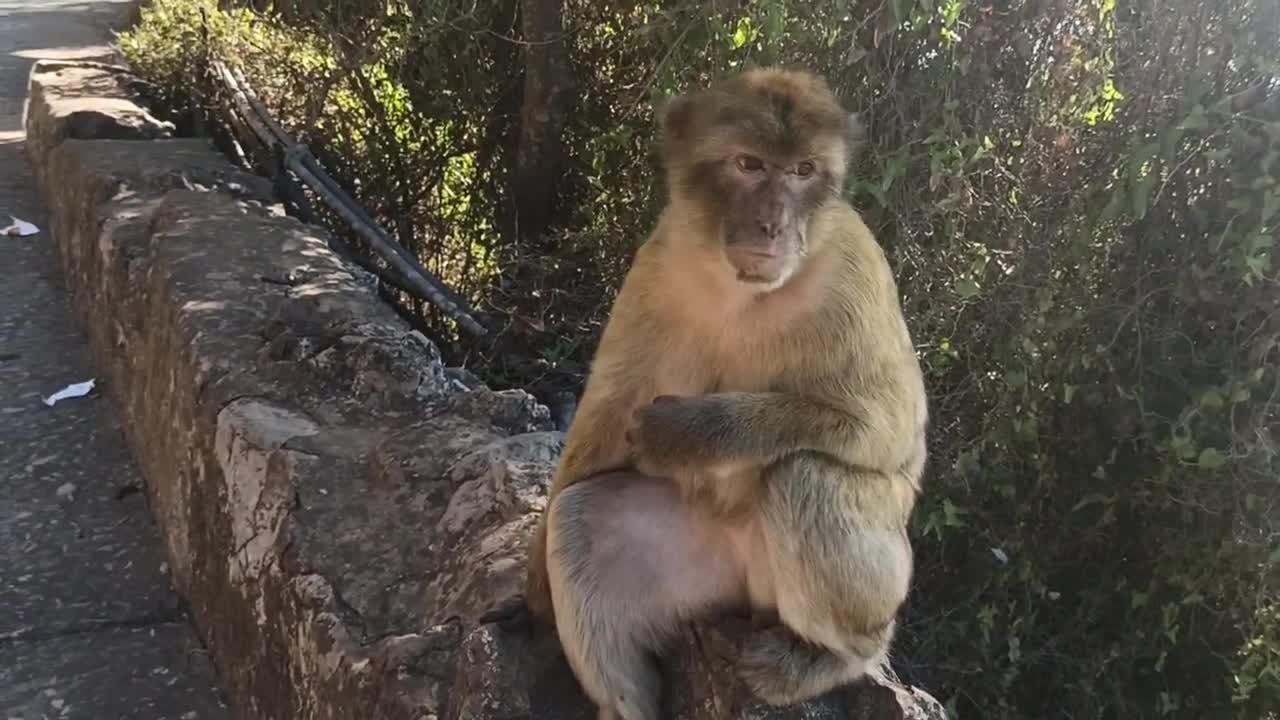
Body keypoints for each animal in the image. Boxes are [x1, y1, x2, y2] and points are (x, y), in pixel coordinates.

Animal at [488, 67, 928, 720]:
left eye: (803, 171)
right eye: (749, 164)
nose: (774, 225)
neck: (742, 289)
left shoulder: (857, 271)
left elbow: (893, 437)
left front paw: (689, 433)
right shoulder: (657, 263)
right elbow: (604, 415)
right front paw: (533, 590)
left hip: (884, 578)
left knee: (805, 472)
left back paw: (841, 657)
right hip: (711, 571)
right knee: (579, 518)